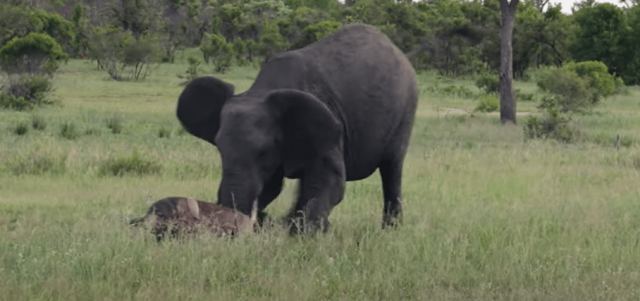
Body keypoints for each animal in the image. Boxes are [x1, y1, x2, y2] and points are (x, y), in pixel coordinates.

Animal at [178, 24, 418, 232]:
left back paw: (390, 229)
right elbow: (273, 186)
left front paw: (299, 231)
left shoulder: (329, 128)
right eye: (220, 150)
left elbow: (330, 180)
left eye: (263, 152)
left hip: (406, 112)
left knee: (392, 169)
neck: (263, 91)